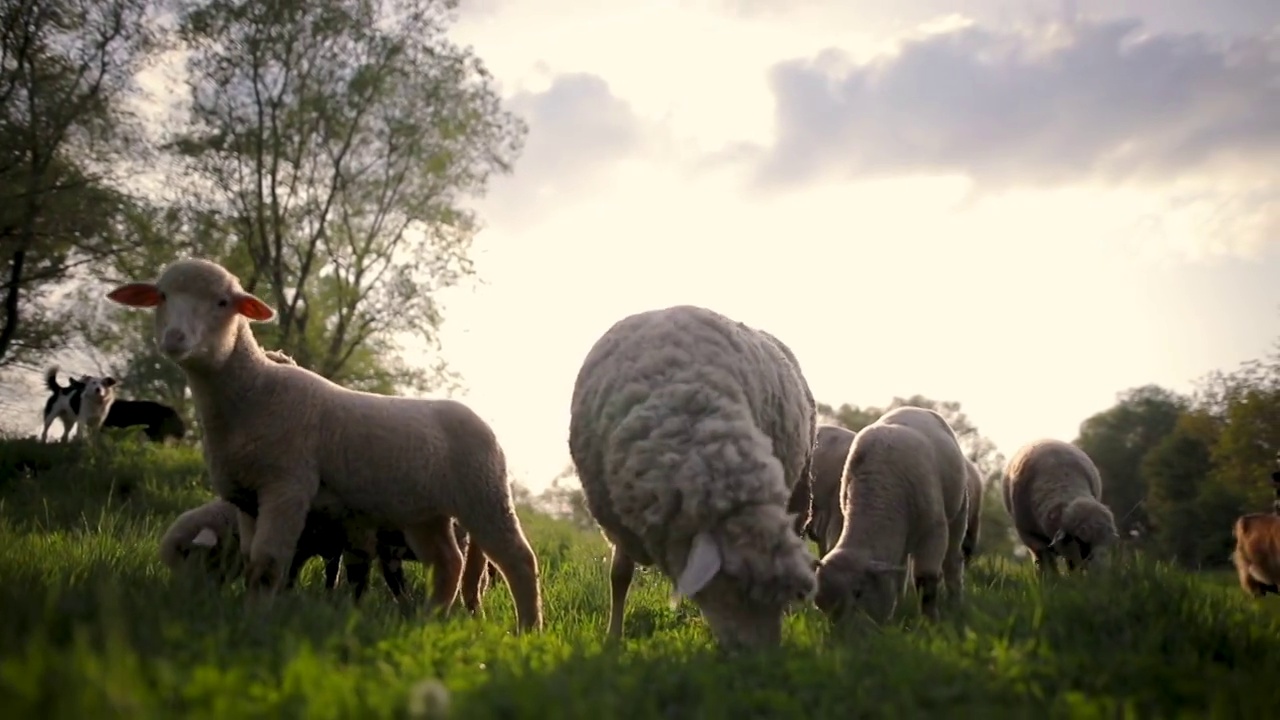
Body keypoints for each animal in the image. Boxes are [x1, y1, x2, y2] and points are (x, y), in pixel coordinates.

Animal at [107, 256, 542, 627]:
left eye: (222, 302)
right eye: (162, 296)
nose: (175, 338)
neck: (253, 392)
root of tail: (483, 423)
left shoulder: (287, 486)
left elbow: (267, 564)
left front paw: (256, 623)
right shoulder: (246, 499)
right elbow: (249, 561)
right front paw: (249, 611)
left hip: (484, 494)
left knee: (518, 560)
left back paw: (527, 630)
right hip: (424, 512)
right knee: (448, 562)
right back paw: (429, 620)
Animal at [570, 299, 819, 648]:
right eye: (735, 585)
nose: (763, 657)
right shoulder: (616, 520)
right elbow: (619, 576)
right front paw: (613, 640)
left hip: (799, 487)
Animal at [814, 404, 962, 622]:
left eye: (858, 593)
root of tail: (914, 408)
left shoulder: (933, 529)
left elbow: (926, 580)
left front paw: (930, 621)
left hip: (959, 510)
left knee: (953, 560)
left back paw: (956, 601)